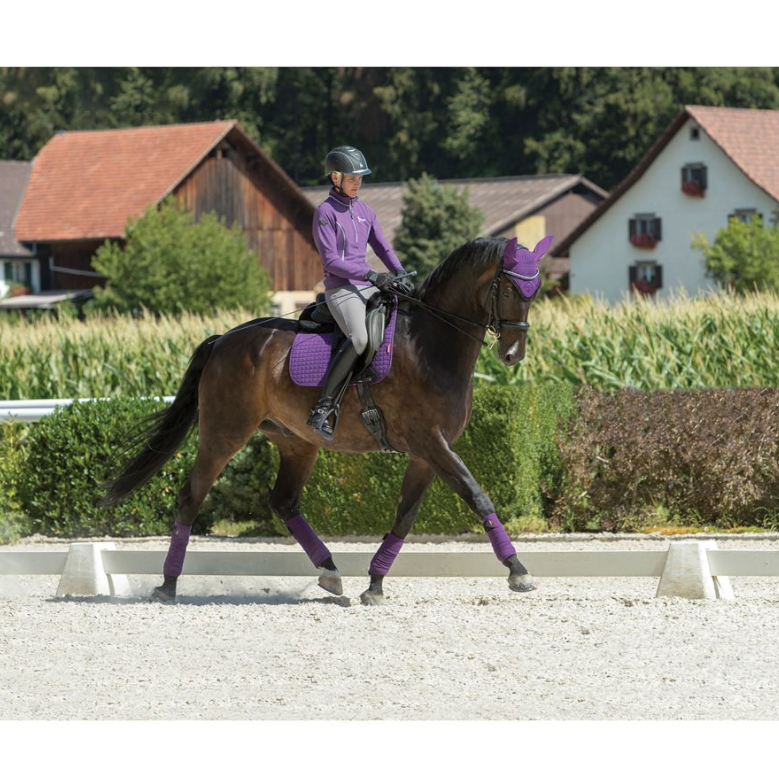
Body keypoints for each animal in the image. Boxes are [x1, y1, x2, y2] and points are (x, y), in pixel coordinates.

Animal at [101, 235, 552, 604]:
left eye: (535, 290)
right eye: (507, 287)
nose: (512, 355)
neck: (431, 343)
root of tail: (223, 340)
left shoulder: (427, 453)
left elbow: (405, 516)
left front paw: (375, 584)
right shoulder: (431, 442)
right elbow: (477, 496)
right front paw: (518, 570)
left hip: (297, 442)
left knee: (284, 502)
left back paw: (331, 572)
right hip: (224, 434)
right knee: (191, 497)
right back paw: (167, 584)